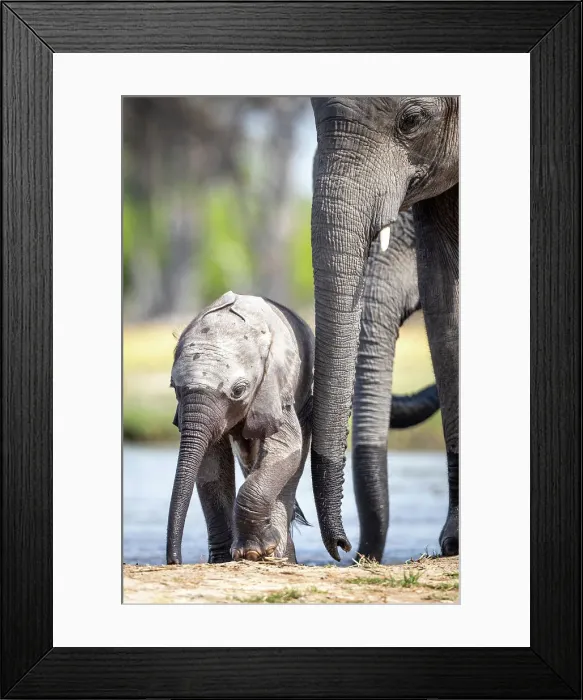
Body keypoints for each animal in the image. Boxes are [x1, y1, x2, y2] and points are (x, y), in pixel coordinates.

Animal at [166, 290, 442, 565]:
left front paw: (252, 553)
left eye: (238, 390)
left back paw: (278, 555)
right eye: (174, 387)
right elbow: (210, 463)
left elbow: (287, 448)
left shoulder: (278, 388)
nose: (174, 560)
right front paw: (224, 559)